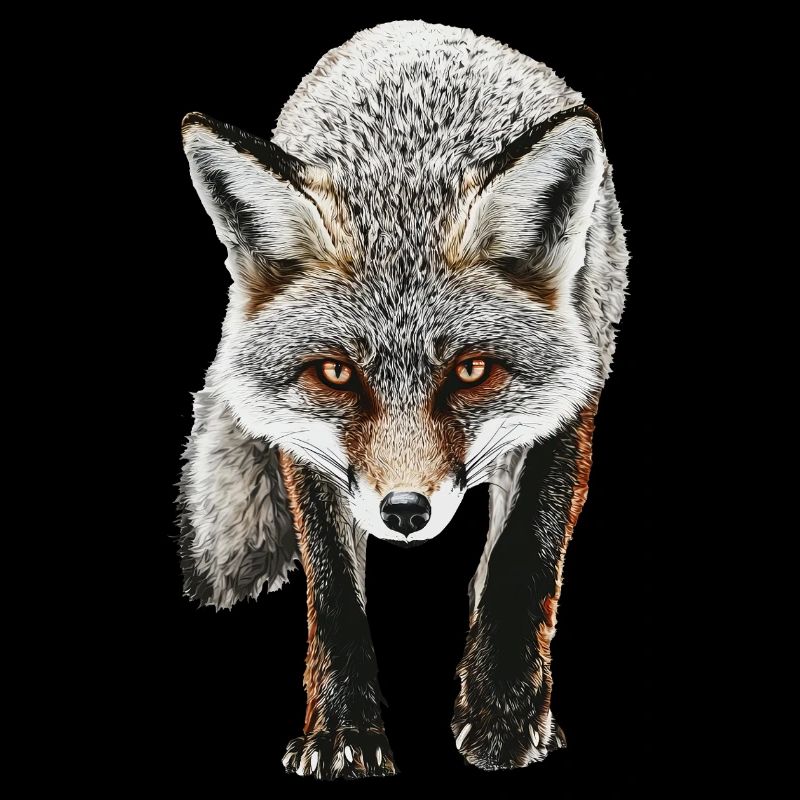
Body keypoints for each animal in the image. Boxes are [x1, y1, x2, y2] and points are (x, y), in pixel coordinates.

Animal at [177, 20, 628, 779]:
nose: (406, 512)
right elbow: (334, 593)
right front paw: (341, 731)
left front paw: (505, 713)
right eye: (335, 374)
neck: (405, 170)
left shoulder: (570, 398)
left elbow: (522, 560)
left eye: (471, 371)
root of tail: (416, 28)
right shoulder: (306, 445)